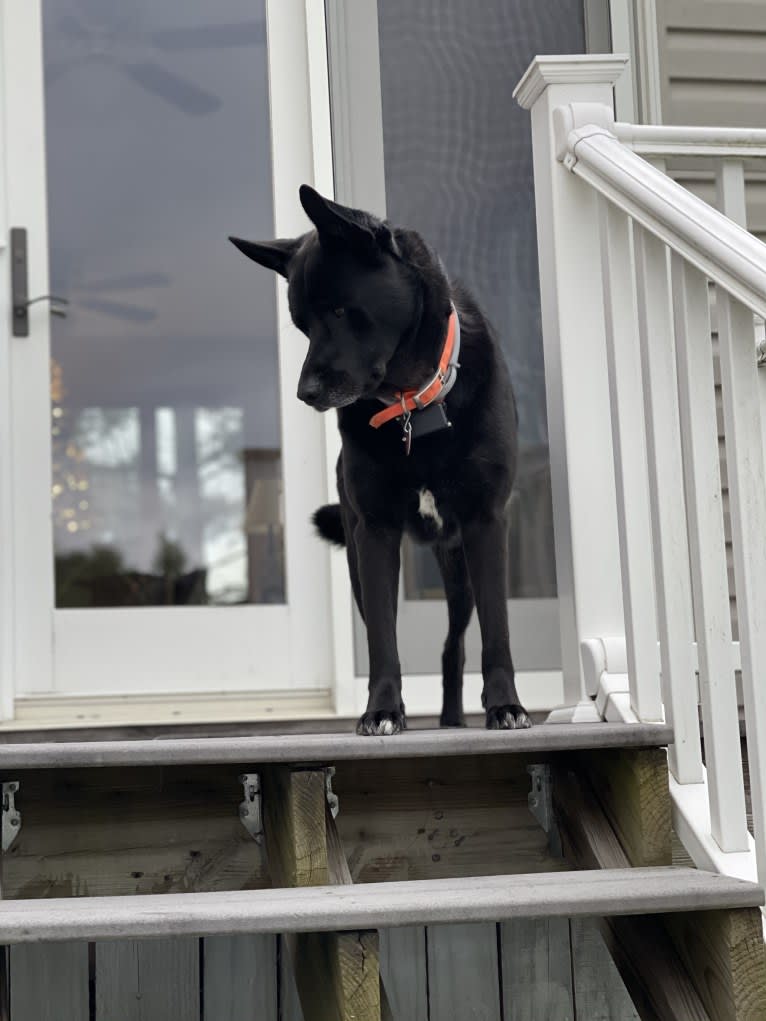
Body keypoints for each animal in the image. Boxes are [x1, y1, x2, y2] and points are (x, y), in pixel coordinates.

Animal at [230, 187, 531, 735]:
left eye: (340, 311)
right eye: (302, 326)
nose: (305, 394)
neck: (417, 406)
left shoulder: (486, 523)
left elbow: (497, 630)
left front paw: (505, 705)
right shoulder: (373, 534)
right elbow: (381, 641)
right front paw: (383, 710)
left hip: (458, 572)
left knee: (454, 647)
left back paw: (454, 722)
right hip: (357, 562)